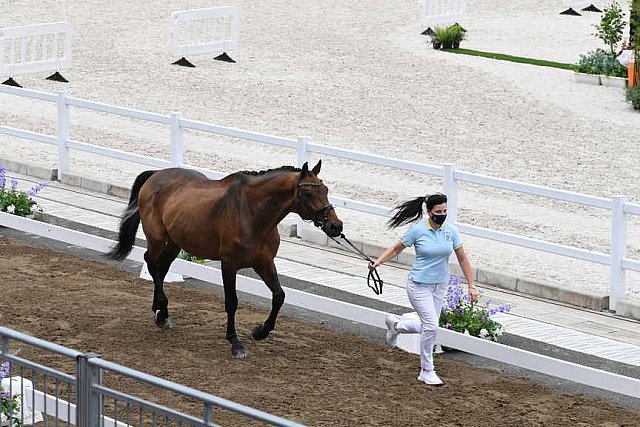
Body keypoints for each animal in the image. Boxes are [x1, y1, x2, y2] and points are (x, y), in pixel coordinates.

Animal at [107, 162, 342, 360]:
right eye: (307, 192)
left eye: (325, 190)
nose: (336, 226)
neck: (252, 212)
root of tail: (156, 174)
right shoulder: (229, 265)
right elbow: (232, 302)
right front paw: (236, 343)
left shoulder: (264, 263)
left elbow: (279, 296)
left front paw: (260, 332)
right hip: (157, 237)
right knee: (151, 262)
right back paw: (162, 310)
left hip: (175, 241)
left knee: (162, 267)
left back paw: (160, 313)